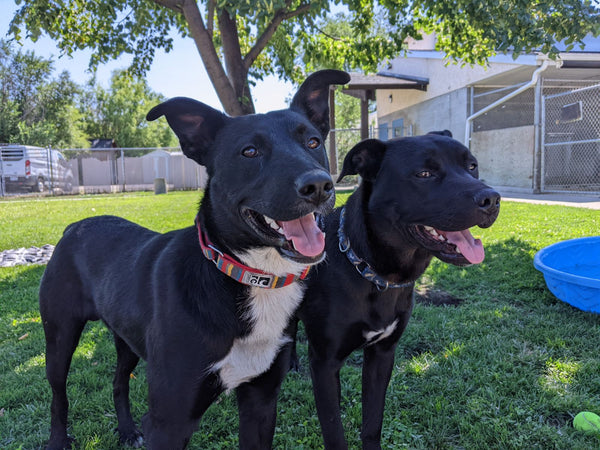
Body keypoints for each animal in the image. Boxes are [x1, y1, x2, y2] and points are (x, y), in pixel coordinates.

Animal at [39, 68, 350, 448]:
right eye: (249, 151)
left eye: (314, 143)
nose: (319, 186)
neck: (246, 275)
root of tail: (75, 226)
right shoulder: (170, 421)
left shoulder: (261, 401)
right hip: (59, 337)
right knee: (58, 395)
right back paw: (58, 439)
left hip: (126, 338)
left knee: (118, 382)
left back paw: (126, 430)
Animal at [292, 132, 500, 448]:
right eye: (424, 173)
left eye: (472, 166)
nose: (492, 199)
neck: (372, 273)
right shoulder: (324, 364)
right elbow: (334, 433)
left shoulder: (382, 354)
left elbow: (372, 423)